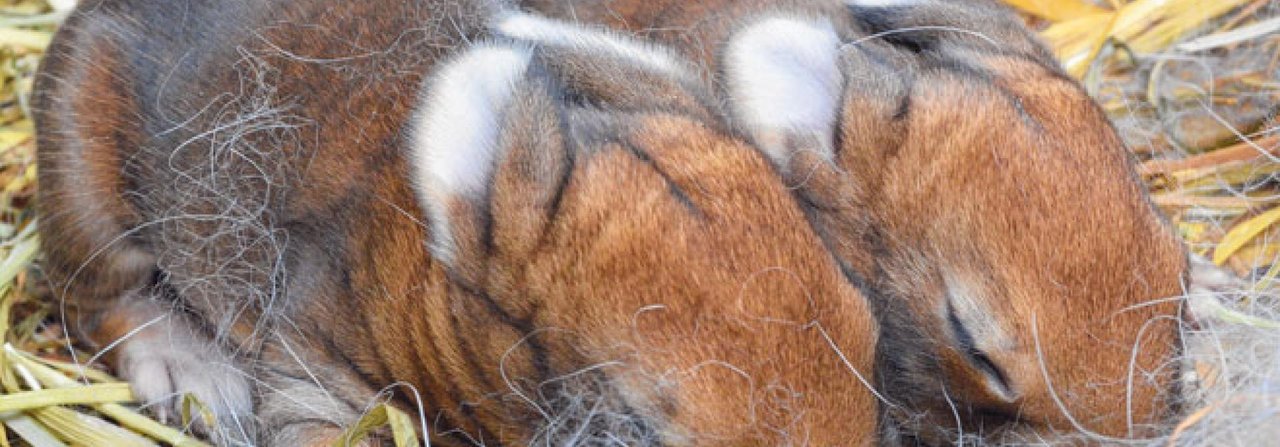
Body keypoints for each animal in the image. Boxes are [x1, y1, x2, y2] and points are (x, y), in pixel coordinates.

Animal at [37, 0, 880, 445]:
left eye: (870, 336)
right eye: (635, 423)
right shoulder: (311, 369)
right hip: (86, 175)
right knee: (97, 292)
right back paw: (198, 381)